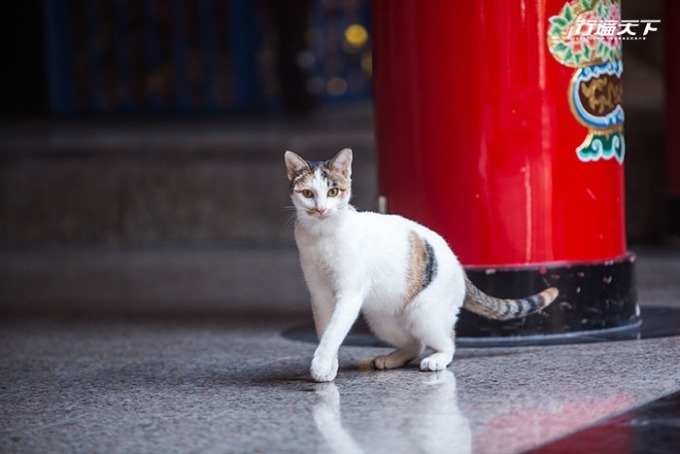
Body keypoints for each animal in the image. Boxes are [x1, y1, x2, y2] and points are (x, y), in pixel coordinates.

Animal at [284, 147, 556, 382]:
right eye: (308, 193)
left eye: (333, 192)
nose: (321, 209)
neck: (321, 236)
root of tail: (459, 266)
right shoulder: (319, 296)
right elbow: (326, 330)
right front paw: (329, 367)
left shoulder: (349, 295)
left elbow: (334, 330)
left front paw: (321, 366)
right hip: (381, 318)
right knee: (415, 344)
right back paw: (391, 359)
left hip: (423, 313)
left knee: (448, 339)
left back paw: (437, 359)